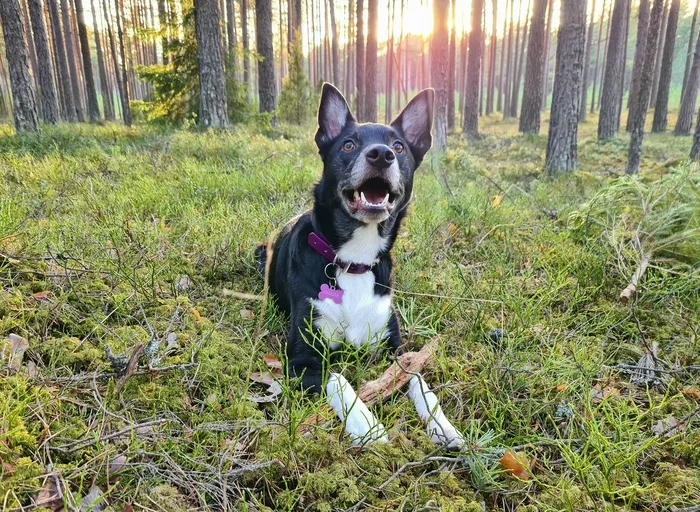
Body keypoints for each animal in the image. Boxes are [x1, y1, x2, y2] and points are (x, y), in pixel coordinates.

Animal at [258, 83, 464, 448]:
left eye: (399, 146)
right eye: (349, 144)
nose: (381, 154)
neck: (355, 260)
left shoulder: (395, 348)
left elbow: (416, 377)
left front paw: (443, 425)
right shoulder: (302, 360)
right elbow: (337, 376)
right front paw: (368, 424)